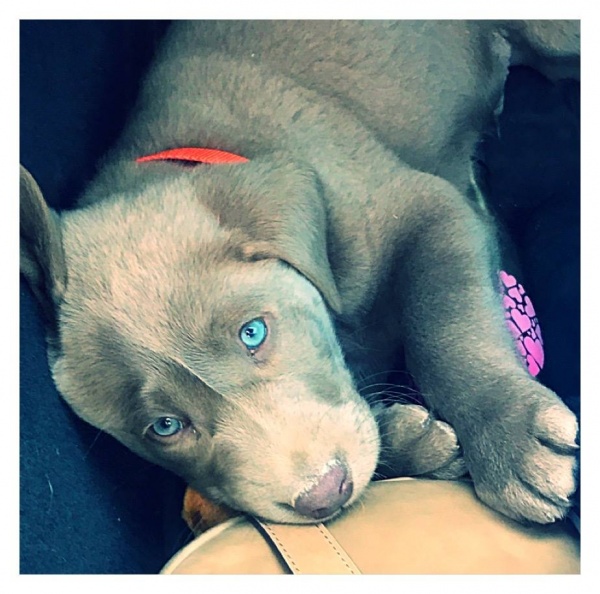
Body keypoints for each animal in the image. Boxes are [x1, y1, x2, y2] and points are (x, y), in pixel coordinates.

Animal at [21, 20, 580, 524]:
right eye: (164, 426)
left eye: (253, 333)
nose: (325, 494)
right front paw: (409, 441)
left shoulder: (424, 207)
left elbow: (446, 324)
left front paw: (510, 439)